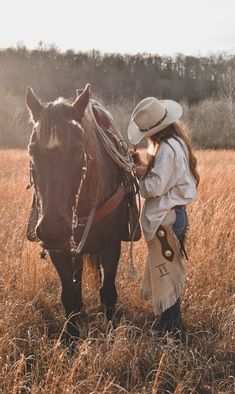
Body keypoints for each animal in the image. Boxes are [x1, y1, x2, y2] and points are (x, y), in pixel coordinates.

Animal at [25, 84, 134, 340]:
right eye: (33, 151)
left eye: (77, 151)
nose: (53, 229)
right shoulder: (60, 250)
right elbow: (70, 295)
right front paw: (72, 337)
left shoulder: (112, 246)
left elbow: (108, 292)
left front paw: (111, 333)